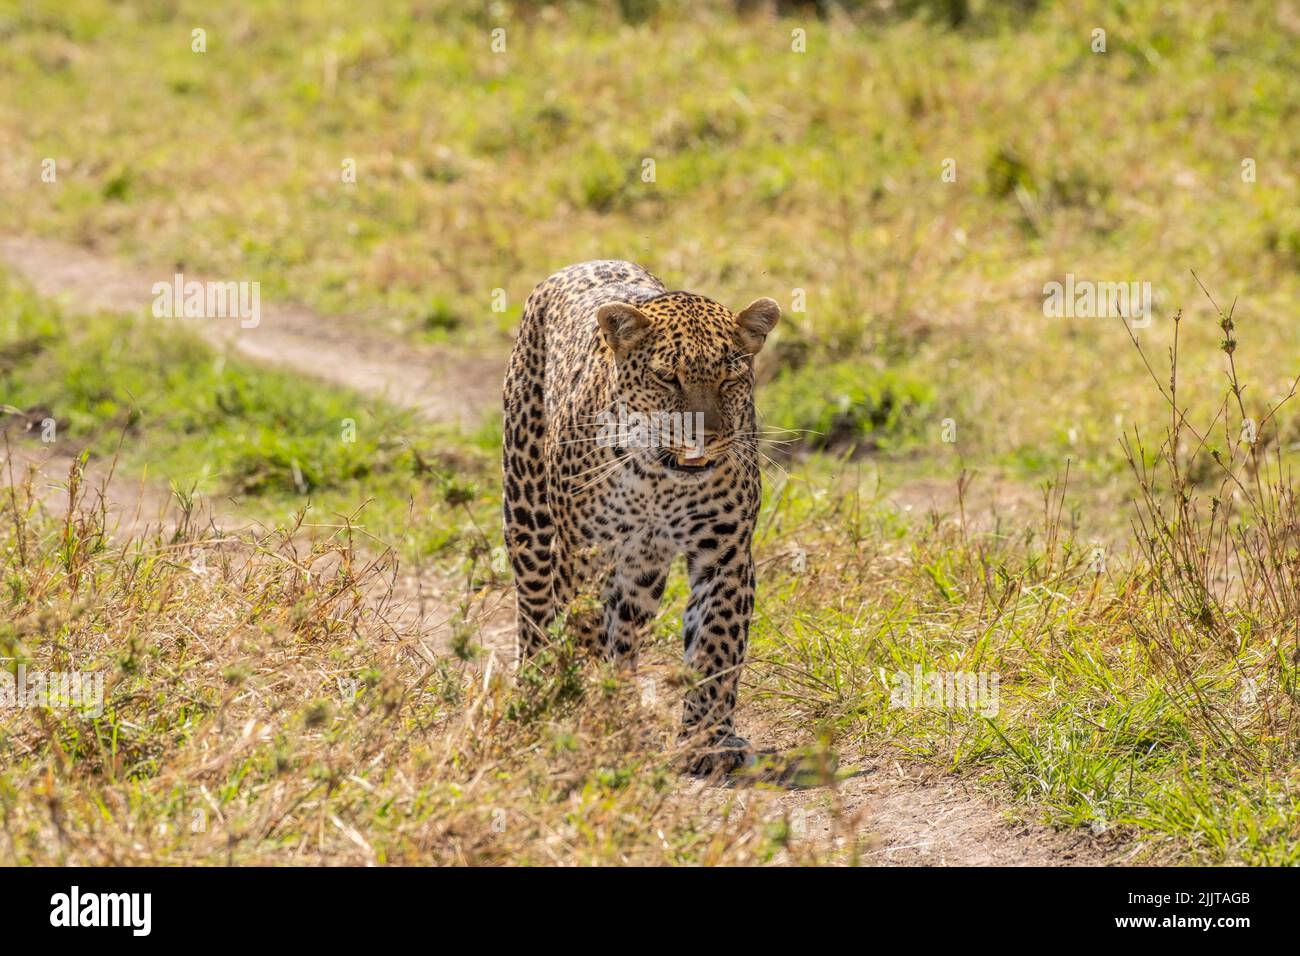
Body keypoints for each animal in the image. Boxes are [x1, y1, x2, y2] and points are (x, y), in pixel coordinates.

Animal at [501, 257, 774, 775]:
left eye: (730, 380)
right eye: (668, 378)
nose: (704, 437)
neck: (658, 479)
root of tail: (584, 262)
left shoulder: (725, 554)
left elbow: (715, 646)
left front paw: (708, 741)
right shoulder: (582, 553)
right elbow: (584, 631)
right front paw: (586, 711)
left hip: (641, 573)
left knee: (625, 638)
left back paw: (622, 705)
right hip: (527, 512)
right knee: (536, 613)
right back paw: (538, 692)